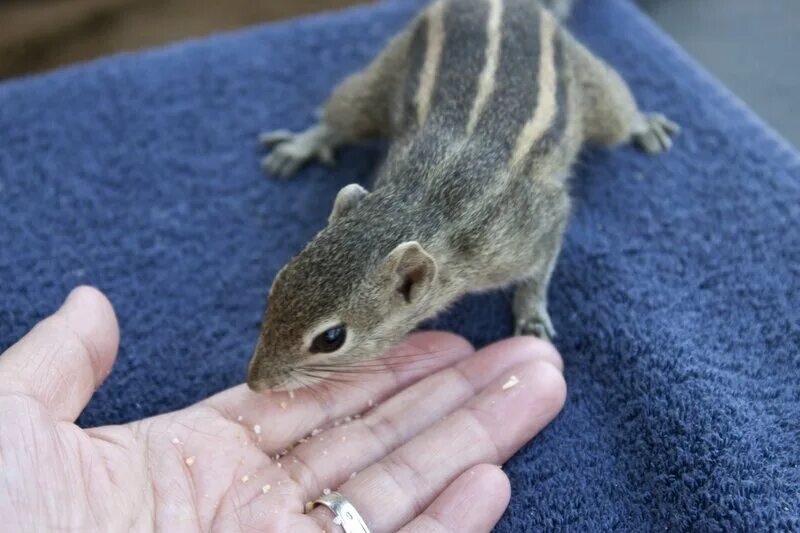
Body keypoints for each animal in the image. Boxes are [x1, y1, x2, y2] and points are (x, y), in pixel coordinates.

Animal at [247, 0, 680, 390]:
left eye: (331, 338)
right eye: (276, 286)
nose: (255, 383)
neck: (424, 202)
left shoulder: (536, 222)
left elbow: (541, 265)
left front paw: (531, 312)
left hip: (592, 87)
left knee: (618, 112)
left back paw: (644, 124)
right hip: (380, 75)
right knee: (343, 116)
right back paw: (303, 144)